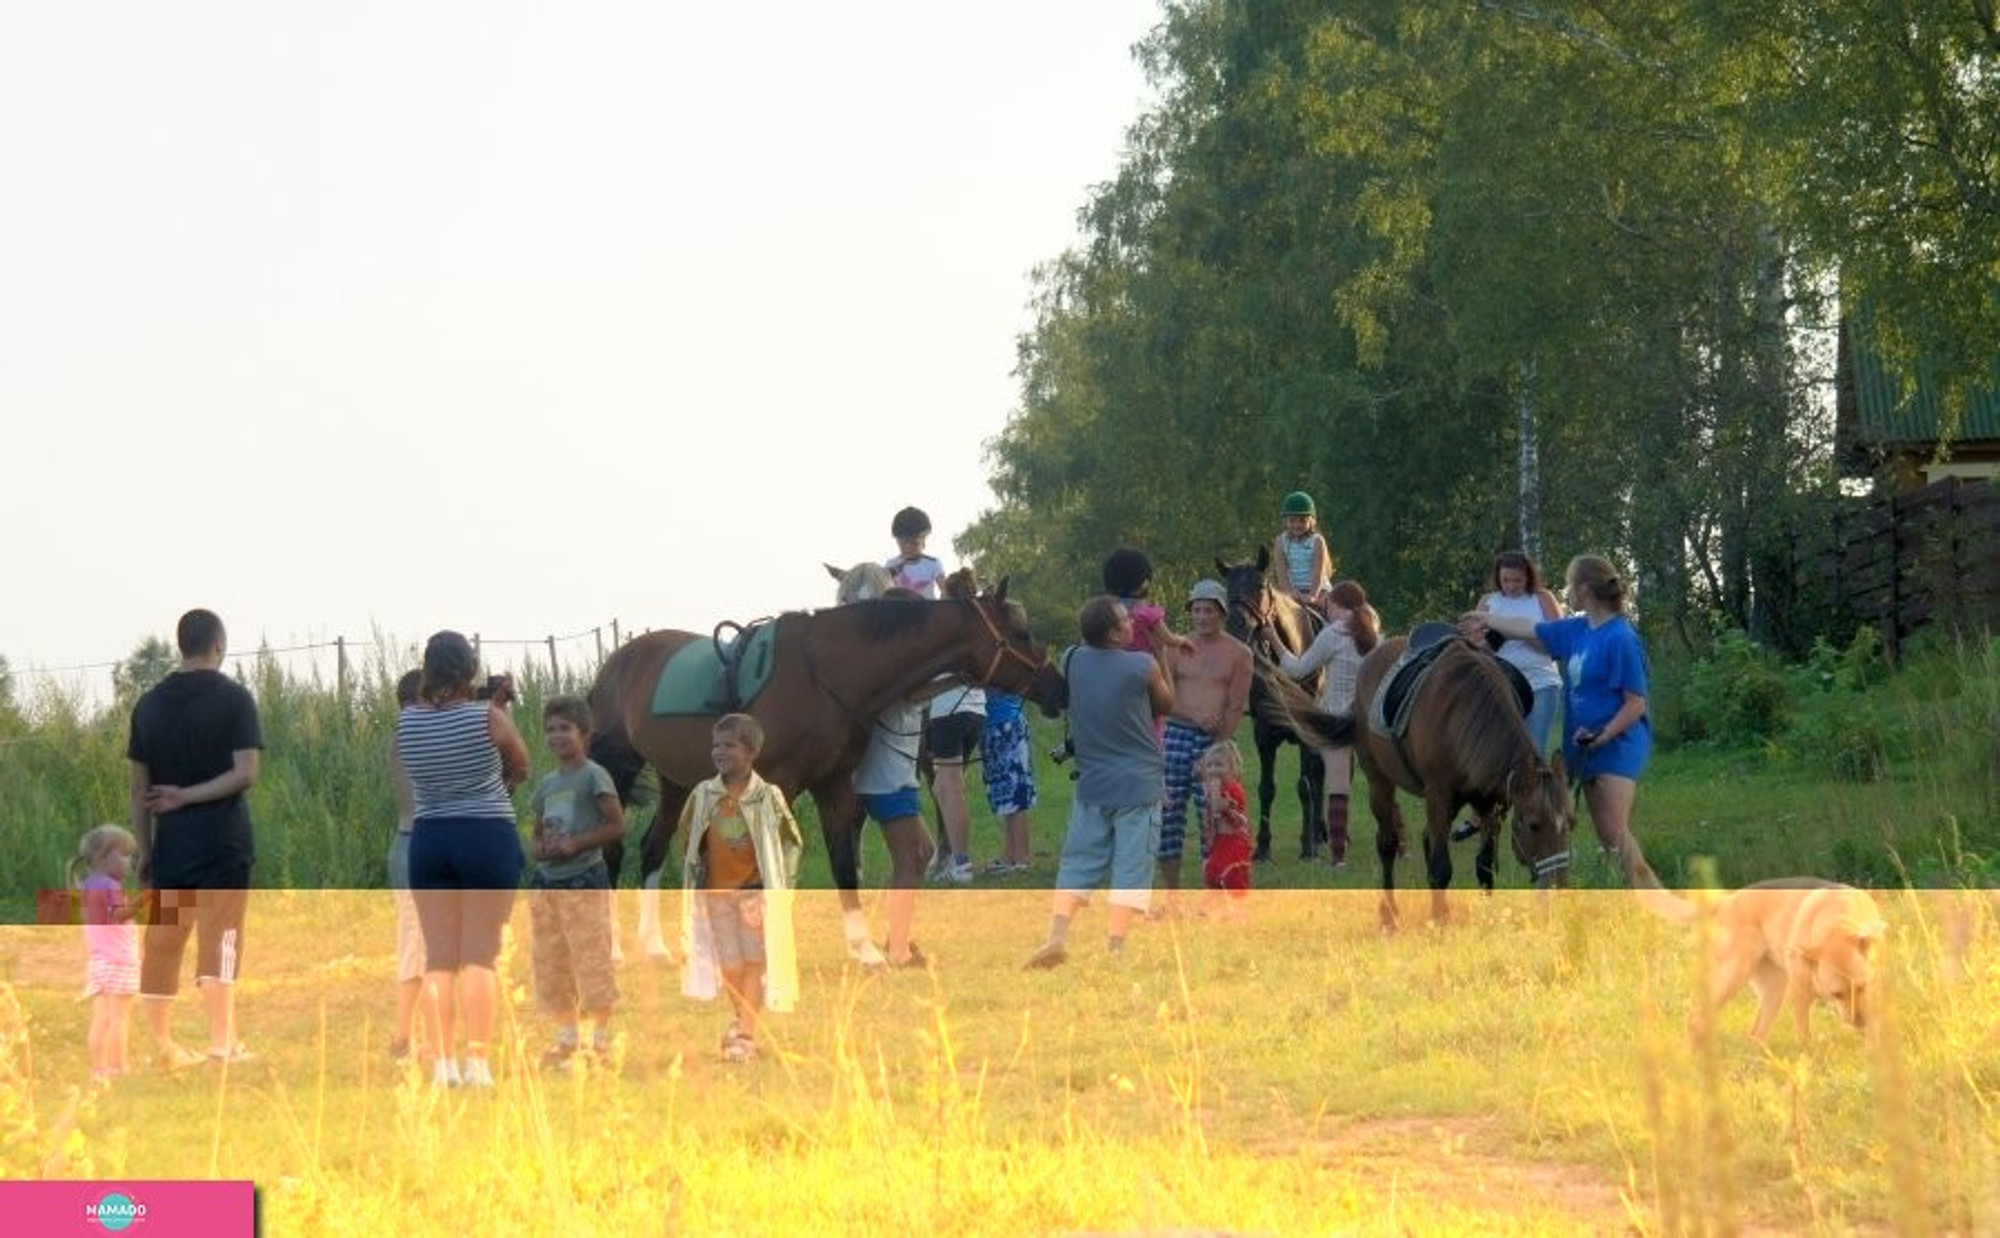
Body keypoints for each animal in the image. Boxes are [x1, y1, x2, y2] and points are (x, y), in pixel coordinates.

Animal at [584, 588, 1064, 960]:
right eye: (1021, 634)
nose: (1058, 687)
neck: (825, 674)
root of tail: (616, 662)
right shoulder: (780, 785)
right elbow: (771, 870)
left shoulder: (833, 784)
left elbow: (843, 863)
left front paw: (865, 950)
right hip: (616, 770)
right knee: (612, 849)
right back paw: (612, 947)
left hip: (676, 781)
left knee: (651, 848)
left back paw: (657, 946)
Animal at [1216, 552, 1328, 864]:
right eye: (1228, 588)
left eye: (1260, 585)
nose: (1236, 626)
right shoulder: (1263, 734)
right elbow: (1266, 788)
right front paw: (1263, 847)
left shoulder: (1306, 734)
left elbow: (1305, 786)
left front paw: (1307, 846)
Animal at [1632, 880, 1880, 1048]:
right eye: (1836, 994)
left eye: (1862, 987)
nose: (1860, 1022)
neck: (1838, 923)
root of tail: (1728, 900)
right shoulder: (1800, 992)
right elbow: (1804, 1035)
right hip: (1733, 976)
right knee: (1695, 1018)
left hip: (1773, 993)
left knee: (1754, 1034)